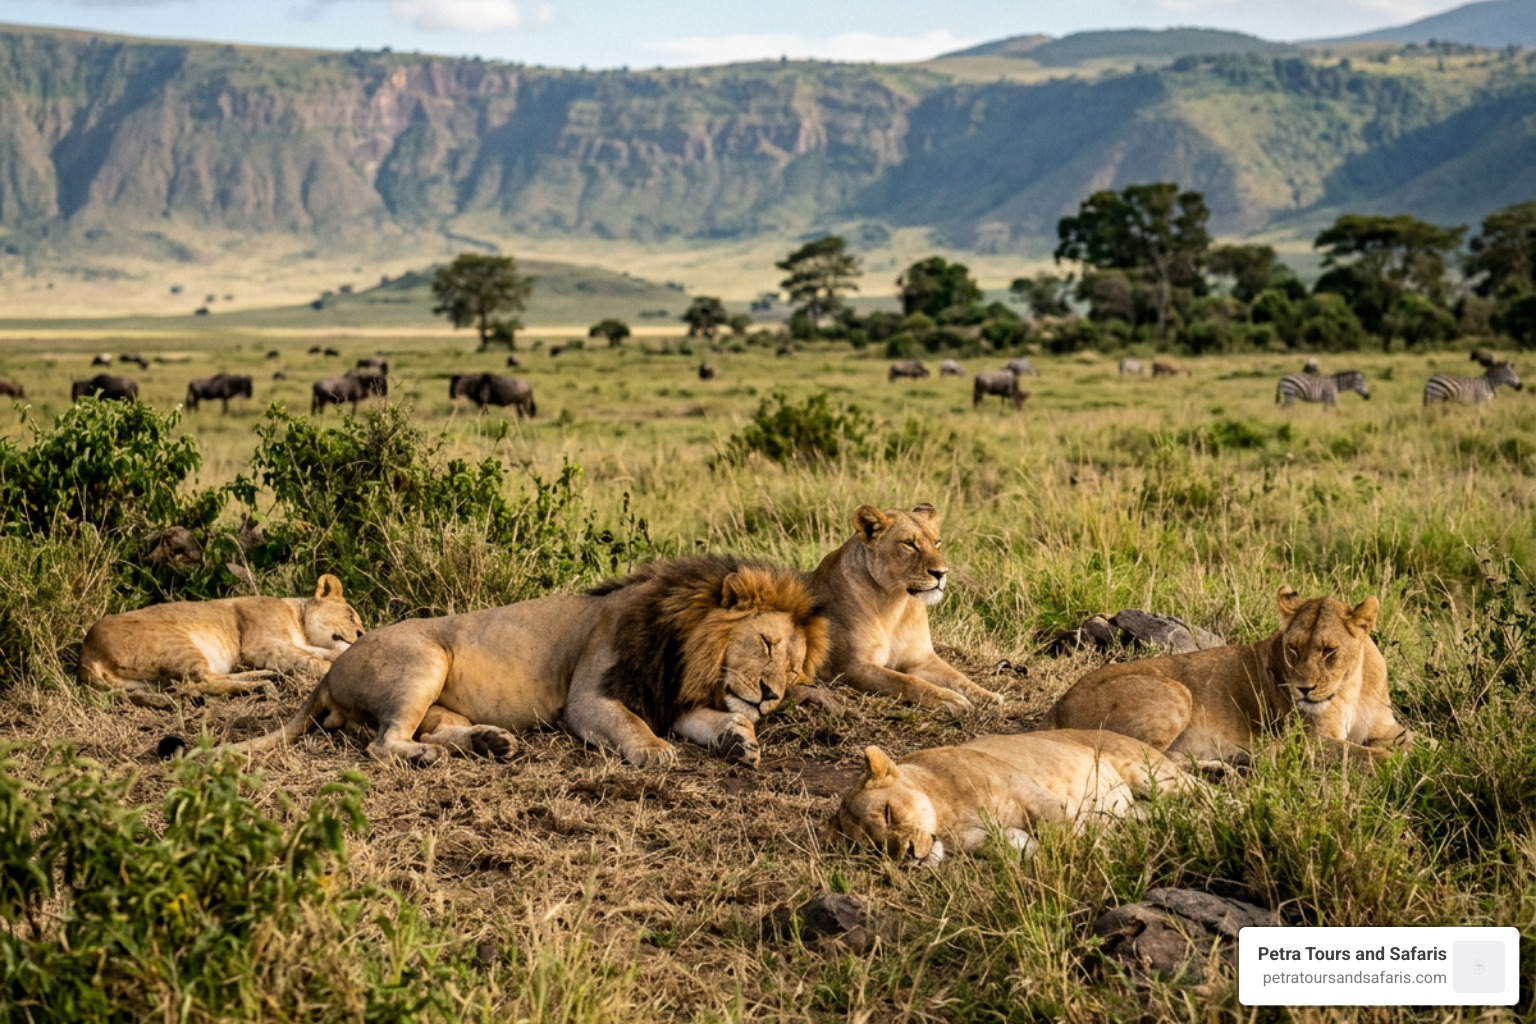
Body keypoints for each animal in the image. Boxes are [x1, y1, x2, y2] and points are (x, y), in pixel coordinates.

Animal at [78, 575, 364, 709]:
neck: (299, 619)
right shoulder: (262, 645)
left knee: (187, 685)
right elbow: (314, 661)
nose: (362, 634)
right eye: (351, 616)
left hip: (143, 682)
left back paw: (265, 678)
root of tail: (87, 655)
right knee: (200, 681)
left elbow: (321, 654)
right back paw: (261, 686)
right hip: (177, 643)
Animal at [230, 556, 830, 768]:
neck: (685, 650)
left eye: (793, 671)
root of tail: (331, 670)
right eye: (767, 644)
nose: (772, 696)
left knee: (429, 730)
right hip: (424, 658)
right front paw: (654, 751)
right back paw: (432, 758)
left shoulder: (671, 697)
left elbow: (711, 722)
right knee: (384, 744)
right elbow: (629, 724)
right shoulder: (588, 697)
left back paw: (491, 743)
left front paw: (740, 739)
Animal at [807, 503, 1002, 711]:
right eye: (909, 544)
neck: (893, 603)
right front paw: (951, 699)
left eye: (937, 542)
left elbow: (959, 677)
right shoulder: (851, 666)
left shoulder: (922, 659)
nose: (941, 573)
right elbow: (906, 681)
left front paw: (989, 696)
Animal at [824, 729, 1193, 866]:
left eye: (888, 813)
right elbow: (1025, 848)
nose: (908, 856)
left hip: (1151, 774)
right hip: (1137, 806)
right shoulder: (994, 837)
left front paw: (1098, 858)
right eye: (873, 849)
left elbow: (1070, 832)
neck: (947, 820)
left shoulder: (1032, 794)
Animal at [1042, 587, 1412, 764]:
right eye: (1293, 649)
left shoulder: (1387, 727)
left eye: (1328, 651)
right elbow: (1367, 755)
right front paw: (1396, 763)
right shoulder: (1309, 739)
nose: (1303, 690)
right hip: (1178, 692)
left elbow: (1417, 741)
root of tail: (1057, 706)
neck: (1352, 685)